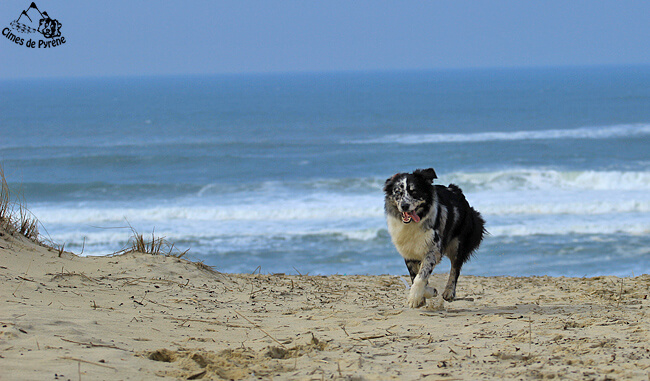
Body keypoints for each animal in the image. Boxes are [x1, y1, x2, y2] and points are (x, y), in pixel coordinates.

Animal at [382, 168, 484, 308]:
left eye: (414, 192)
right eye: (398, 192)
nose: (404, 205)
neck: (414, 222)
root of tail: (456, 190)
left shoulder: (433, 249)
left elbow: (421, 276)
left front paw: (414, 297)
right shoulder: (409, 252)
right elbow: (416, 276)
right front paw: (427, 294)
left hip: (457, 244)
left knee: (455, 267)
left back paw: (449, 292)